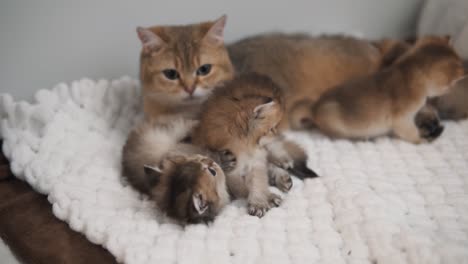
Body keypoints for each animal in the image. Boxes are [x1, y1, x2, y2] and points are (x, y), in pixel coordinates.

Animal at [191, 73, 318, 218]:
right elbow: (242, 186)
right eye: (270, 129)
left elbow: (258, 181)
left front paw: (260, 201)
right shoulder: (229, 171)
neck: (241, 146)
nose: (276, 133)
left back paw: (282, 163)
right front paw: (267, 198)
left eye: (274, 127)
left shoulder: (257, 159)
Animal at [308, 36, 466, 143]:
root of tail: (314, 108)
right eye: (451, 86)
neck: (410, 71)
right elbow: (411, 133)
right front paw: (420, 139)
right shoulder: (402, 120)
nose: (439, 129)